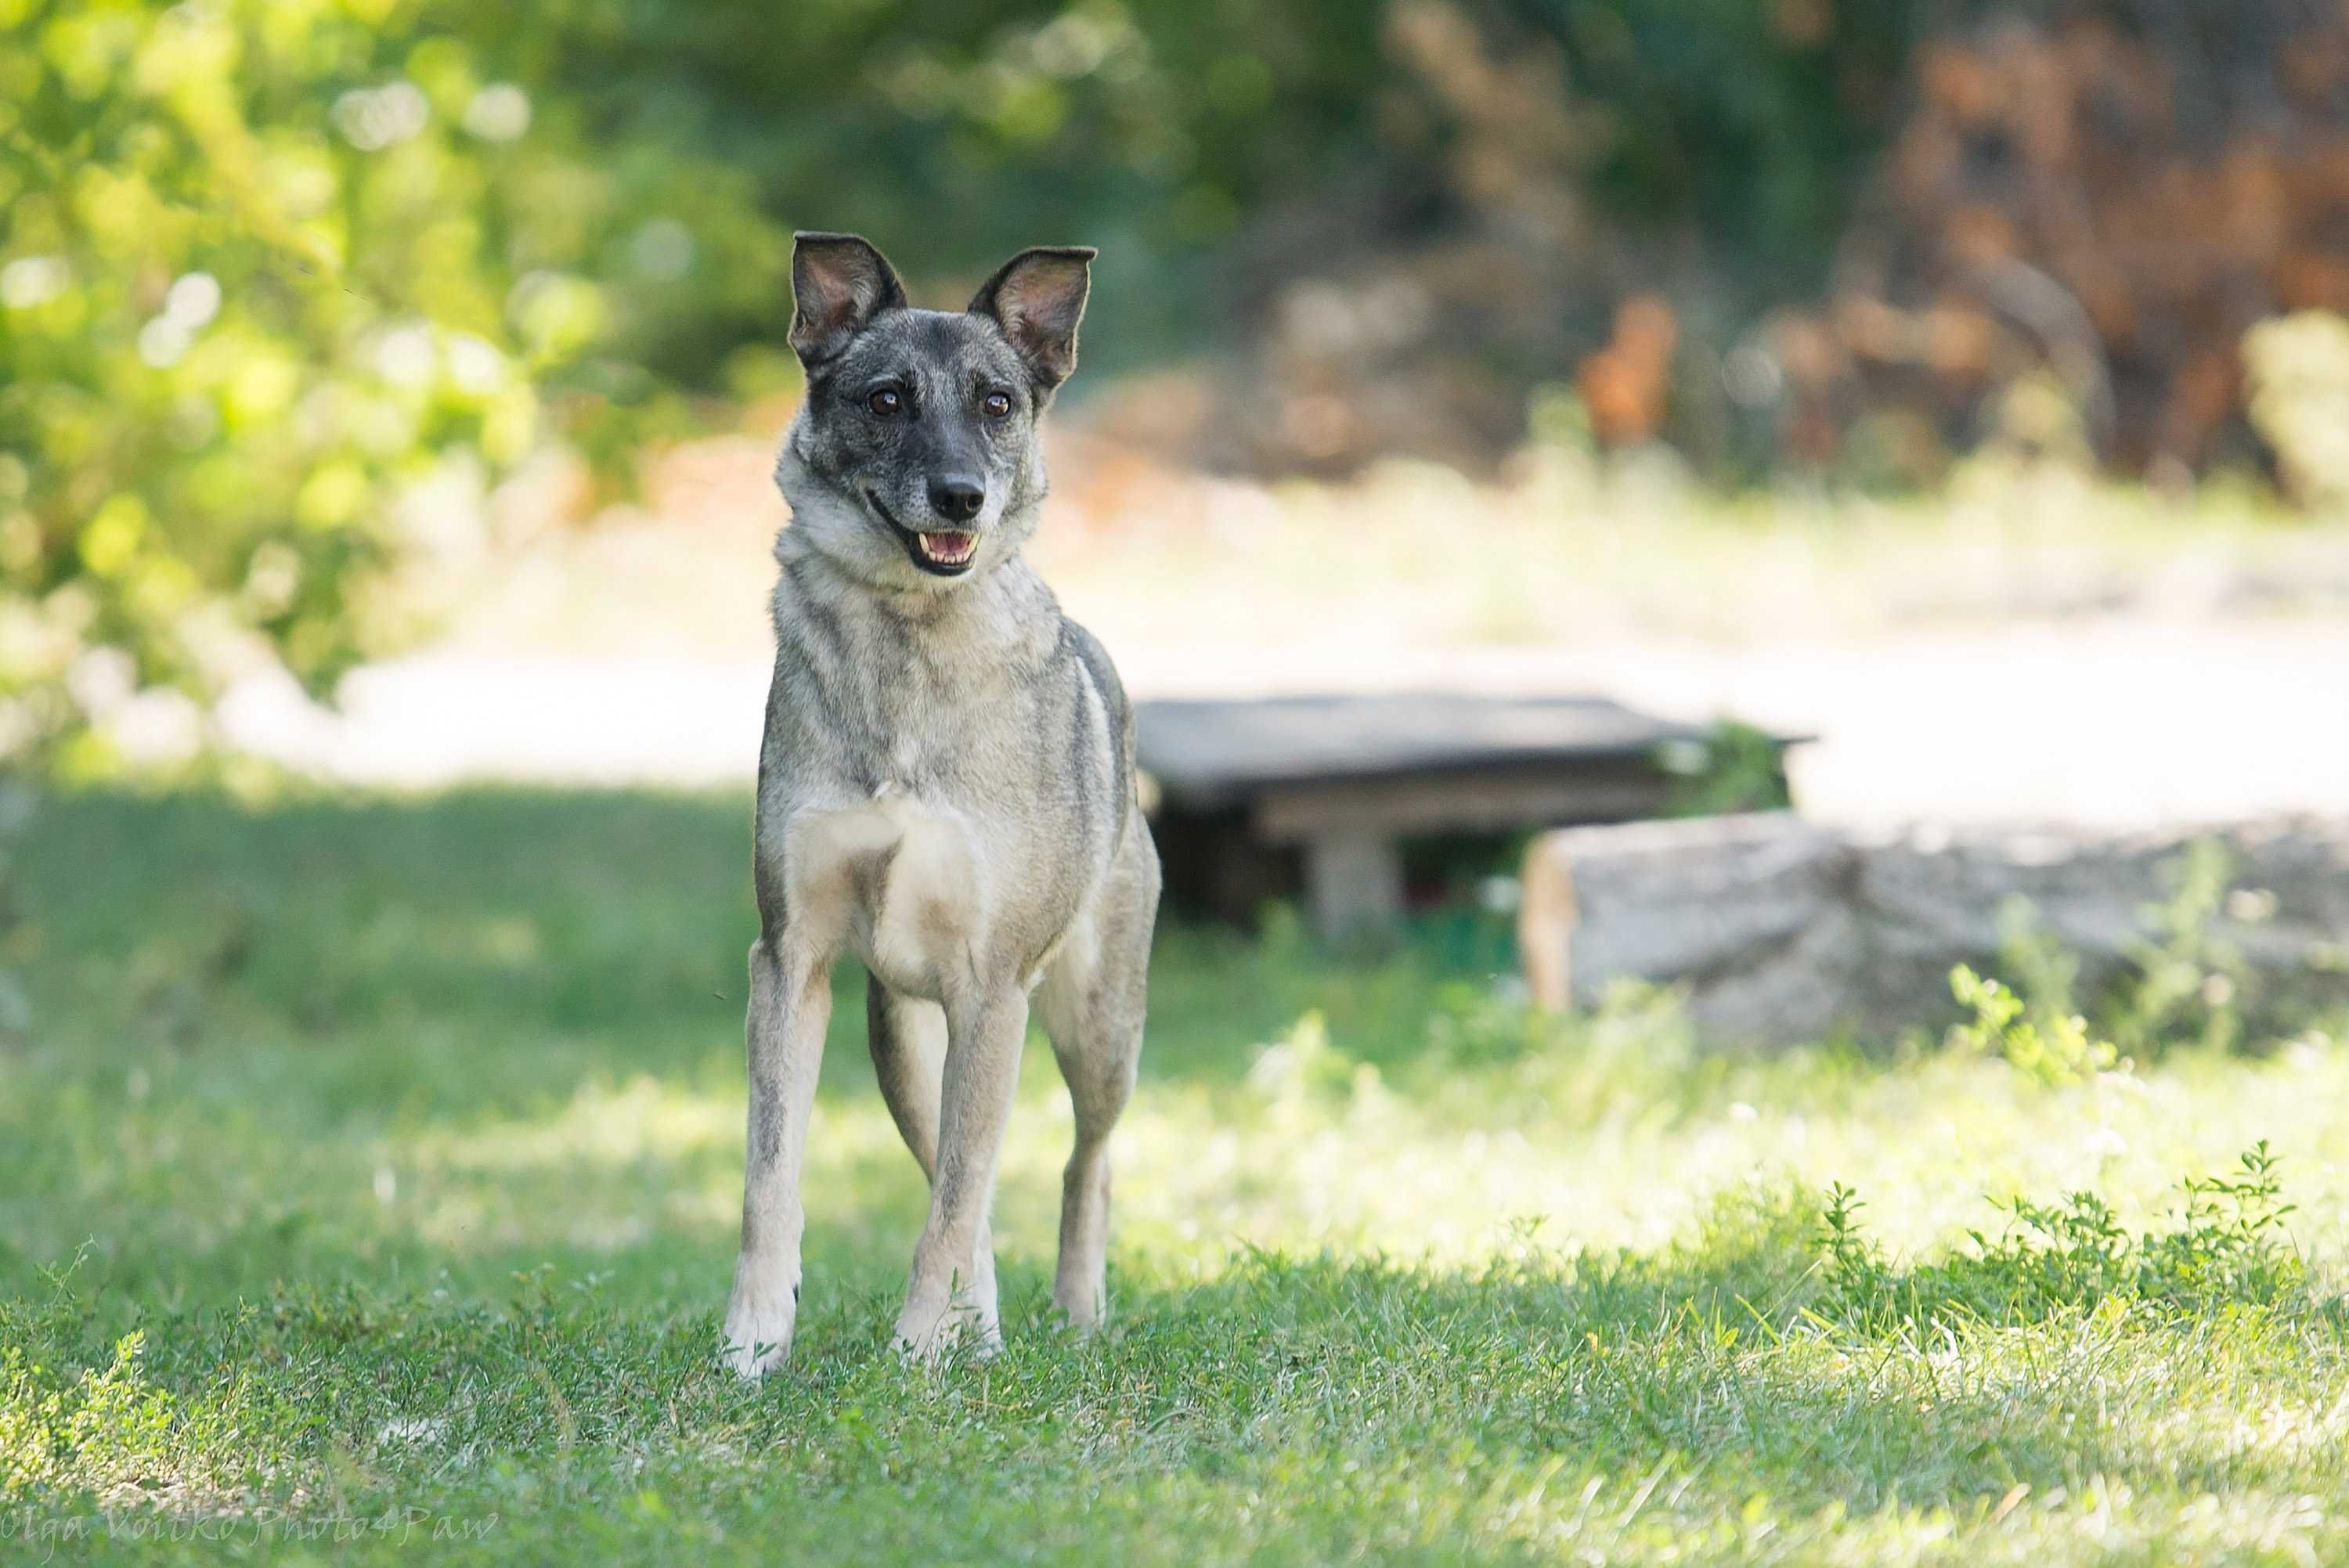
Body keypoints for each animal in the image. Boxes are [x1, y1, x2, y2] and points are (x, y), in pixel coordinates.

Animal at [714, 229, 1156, 1371]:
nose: (962, 497)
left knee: (1080, 1164)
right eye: (887, 399)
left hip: (1096, 1023)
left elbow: (957, 1200)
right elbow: (772, 1178)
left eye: (997, 403)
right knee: (968, 1172)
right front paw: (753, 1346)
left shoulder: (993, 984)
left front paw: (916, 1356)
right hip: (900, 1037)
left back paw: (1073, 1316)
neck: (907, 636)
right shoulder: (791, 960)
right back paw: (986, 1327)